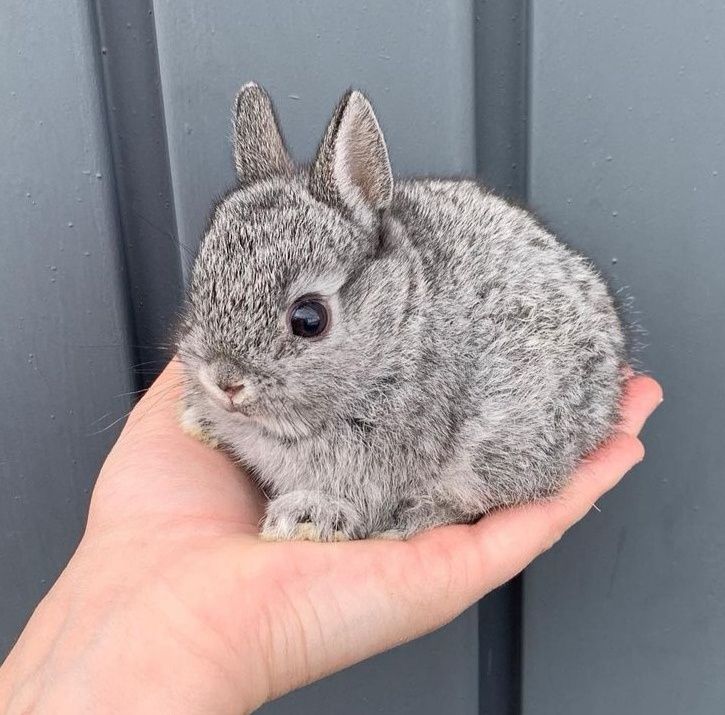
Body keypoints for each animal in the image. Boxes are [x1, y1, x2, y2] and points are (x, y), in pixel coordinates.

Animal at [174, 82, 624, 544]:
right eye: (201, 287)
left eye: (309, 319)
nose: (225, 381)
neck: (395, 329)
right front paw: (199, 420)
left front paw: (306, 517)